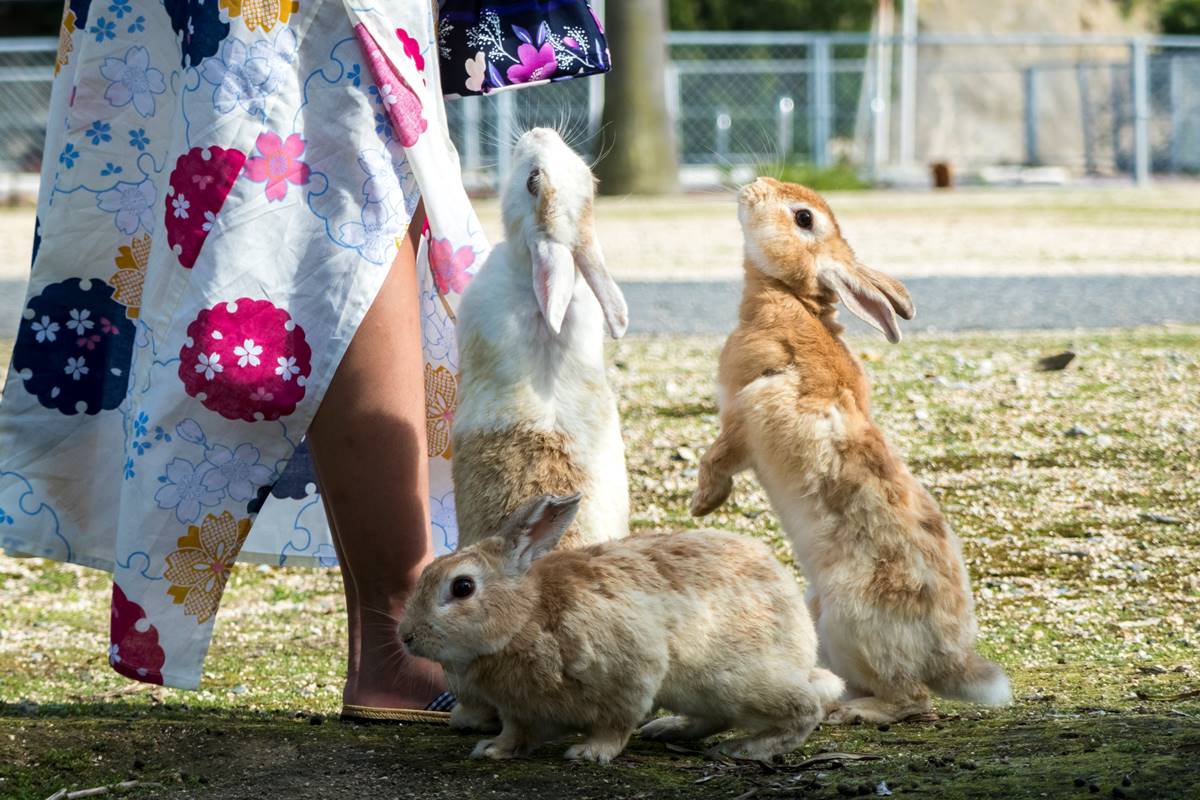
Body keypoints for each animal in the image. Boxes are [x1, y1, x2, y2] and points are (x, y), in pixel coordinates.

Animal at [396, 494, 844, 762]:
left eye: (463, 587)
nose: (407, 637)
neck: (526, 616)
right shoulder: (520, 710)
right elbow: (517, 732)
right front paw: (491, 750)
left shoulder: (629, 676)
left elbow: (615, 724)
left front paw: (589, 754)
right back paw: (669, 728)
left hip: (731, 679)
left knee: (808, 704)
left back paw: (749, 748)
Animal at [696, 178, 1012, 729]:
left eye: (803, 218)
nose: (753, 186)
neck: (792, 298)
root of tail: (950, 663)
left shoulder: (745, 410)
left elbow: (718, 456)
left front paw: (702, 503)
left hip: (851, 622)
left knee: (911, 699)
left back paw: (853, 712)